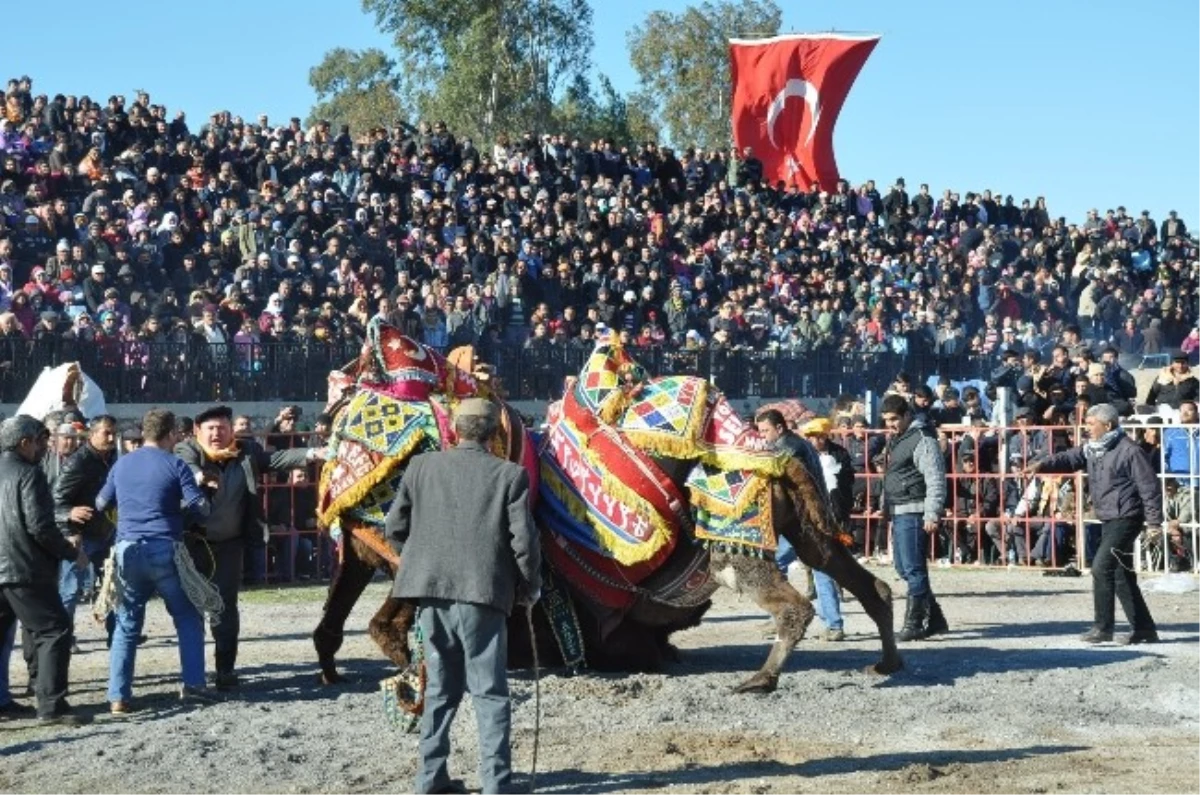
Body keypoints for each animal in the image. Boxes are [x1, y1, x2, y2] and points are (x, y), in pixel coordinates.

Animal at [312, 329, 902, 691]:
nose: (328, 415)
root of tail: (769, 449)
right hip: (805, 529)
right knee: (864, 582)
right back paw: (886, 659)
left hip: (737, 544)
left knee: (794, 603)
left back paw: (763, 678)